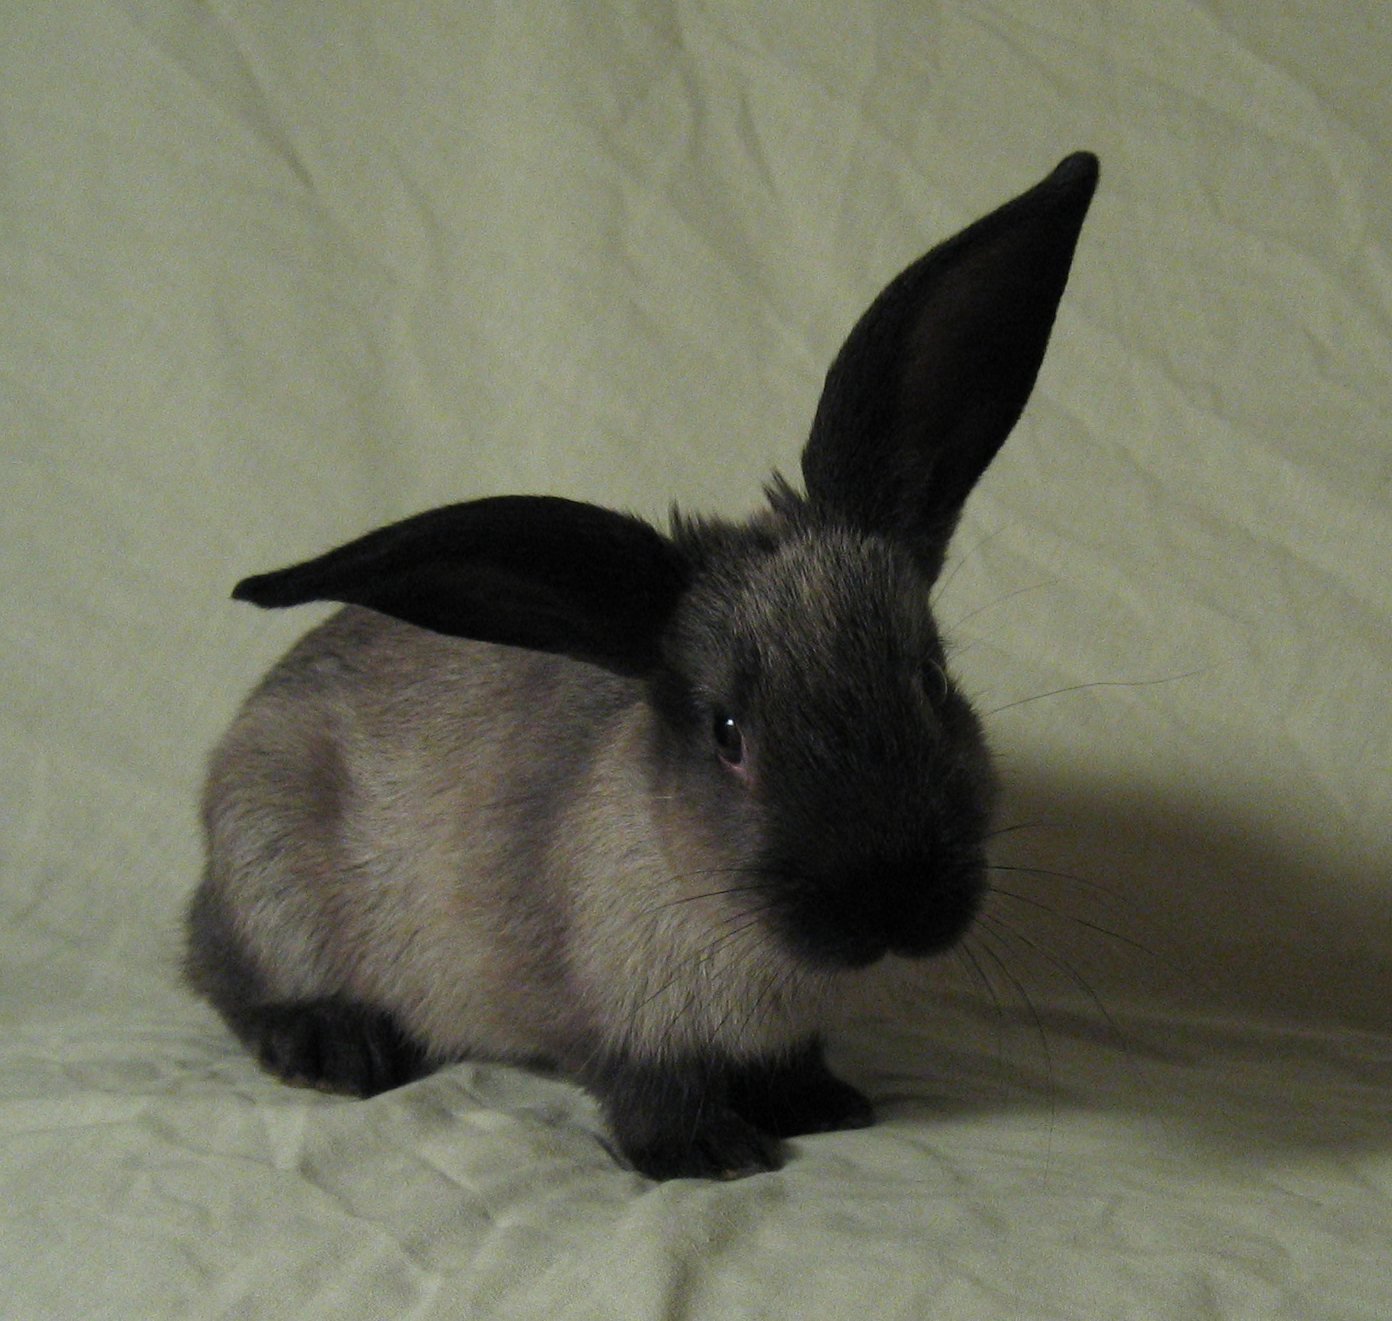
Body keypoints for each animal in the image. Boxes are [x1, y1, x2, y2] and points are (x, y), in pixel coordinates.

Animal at [186, 152, 1099, 1180]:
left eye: (933, 681)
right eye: (728, 734)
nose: (892, 899)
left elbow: (790, 1066)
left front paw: (824, 1107)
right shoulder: (621, 1026)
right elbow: (649, 1089)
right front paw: (713, 1155)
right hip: (269, 875)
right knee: (223, 975)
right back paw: (334, 1046)